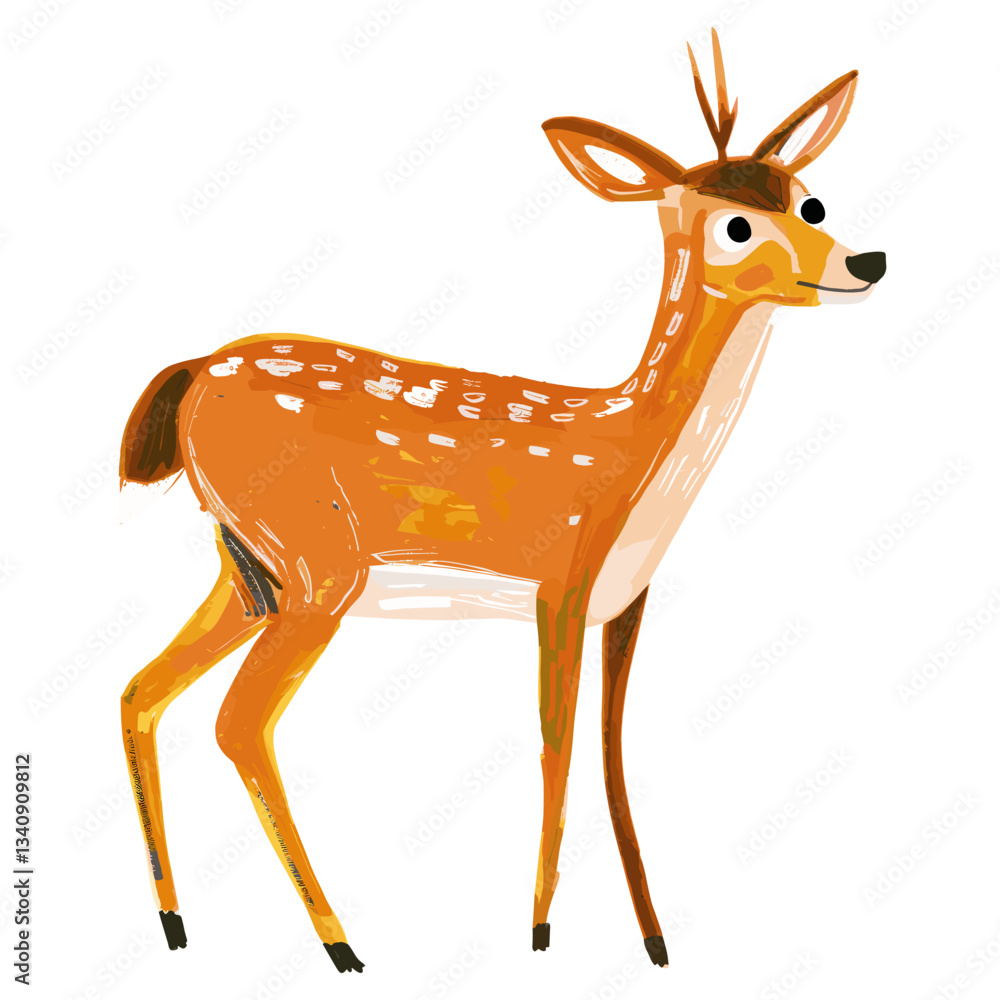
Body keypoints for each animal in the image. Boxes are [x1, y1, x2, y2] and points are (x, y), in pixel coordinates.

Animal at [118, 30, 885, 974]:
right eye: (736, 225)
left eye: (812, 202)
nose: (866, 262)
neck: (634, 458)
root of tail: (189, 377)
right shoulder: (561, 579)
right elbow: (558, 748)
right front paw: (541, 933)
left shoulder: (626, 599)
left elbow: (612, 753)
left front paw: (654, 940)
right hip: (318, 562)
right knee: (237, 721)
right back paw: (342, 943)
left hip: (249, 570)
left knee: (141, 692)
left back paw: (176, 924)